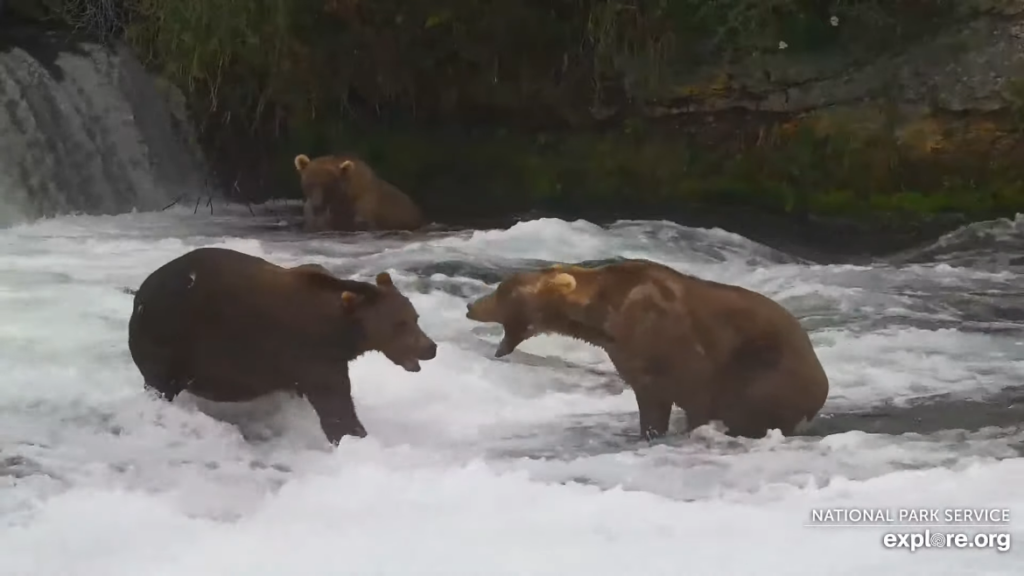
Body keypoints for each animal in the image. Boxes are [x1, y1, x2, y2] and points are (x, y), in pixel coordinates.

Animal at [128, 247, 436, 444]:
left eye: (415, 317)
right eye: (399, 324)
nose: (430, 347)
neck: (340, 332)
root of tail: (139, 296)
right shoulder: (311, 354)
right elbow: (336, 409)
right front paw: (356, 437)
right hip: (170, 337)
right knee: (160, 382)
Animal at [464, 258, 831, 436]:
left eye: (501, 290)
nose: (470, 305)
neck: (603, 318)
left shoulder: (677, 344)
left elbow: (697, 397)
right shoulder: (637, 361)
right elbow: (651, 404)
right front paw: (649, 432)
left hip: (767, 367)